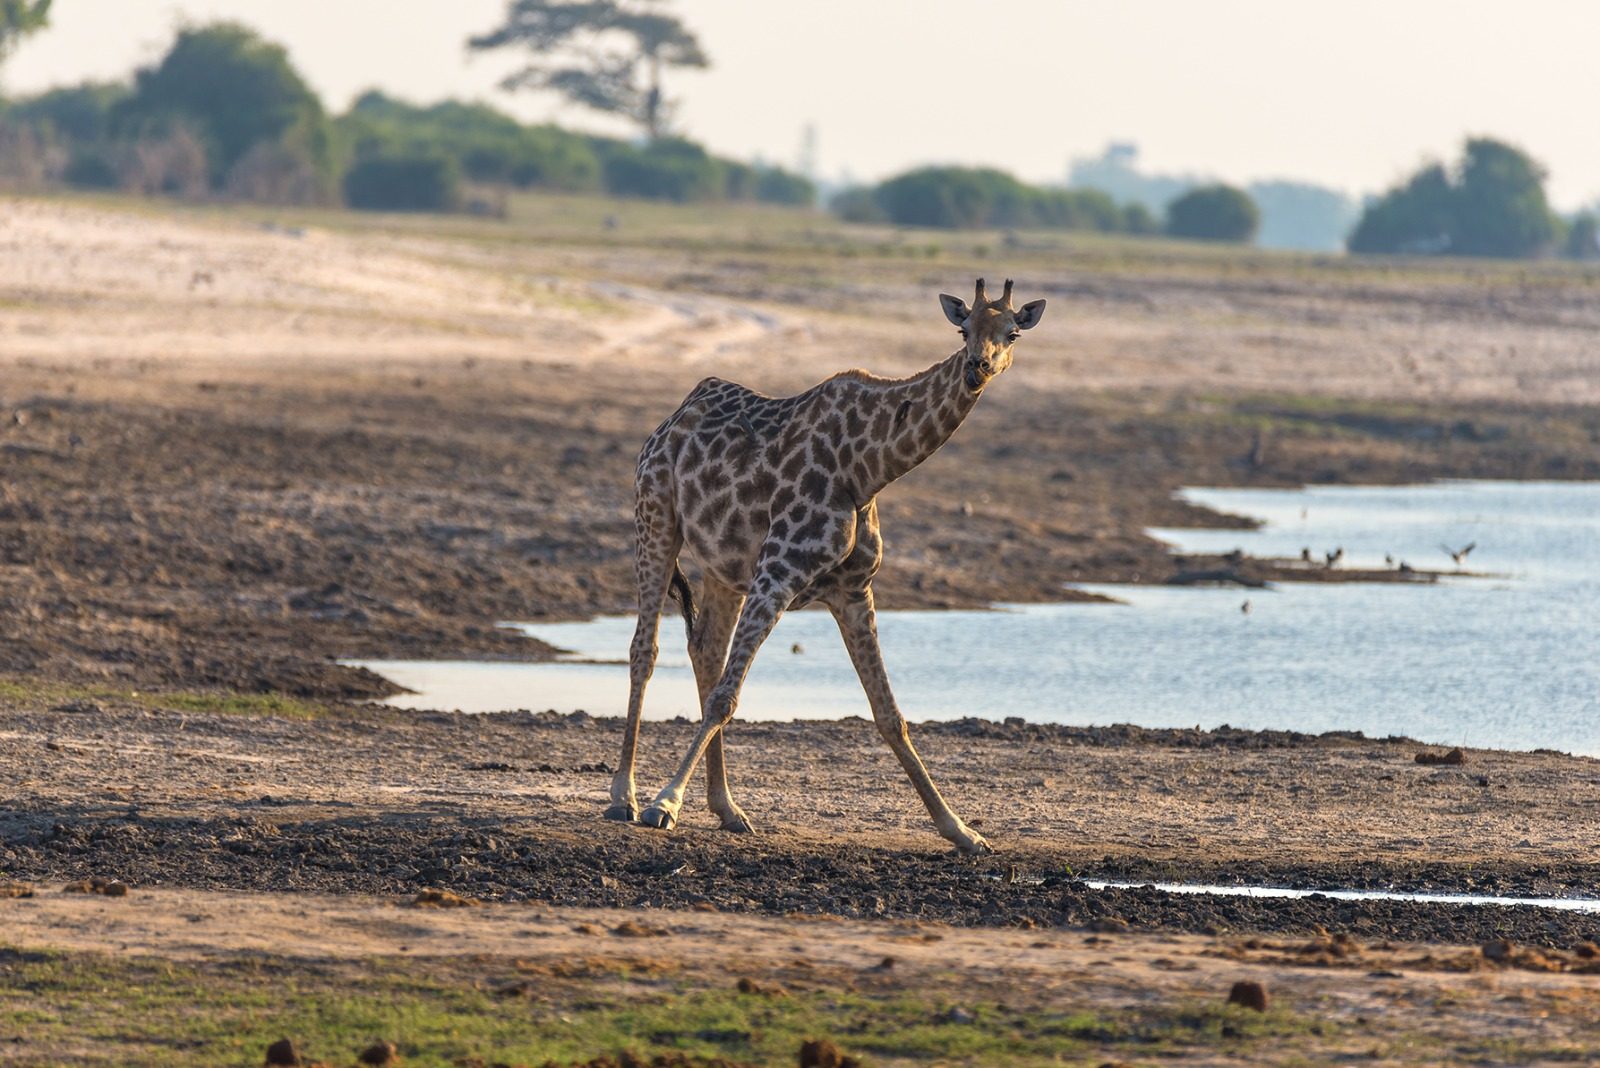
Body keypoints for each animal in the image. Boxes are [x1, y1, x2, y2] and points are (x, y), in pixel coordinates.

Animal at [605, 278, 1046, 854]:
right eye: (963, 328)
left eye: (1012, 332)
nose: (978, 367)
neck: (870, 469)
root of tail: (674, 417)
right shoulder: (779, 571)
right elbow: (727, 697)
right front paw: (665, 804)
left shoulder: (853, 590)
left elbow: (890, 716)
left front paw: (963, 832)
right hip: (656, 517)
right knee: (645, 650)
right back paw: (625, 796)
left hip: (725, 568)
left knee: (705, 650)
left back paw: (728, 808)